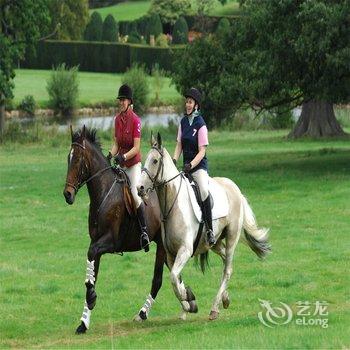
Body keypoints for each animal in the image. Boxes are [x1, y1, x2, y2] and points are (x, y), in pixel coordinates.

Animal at [62, 128, 175, 334]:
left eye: (78, 159)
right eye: (68, 158)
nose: (68, 194)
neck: (103, 193)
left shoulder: (109, 242)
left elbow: (90, 270)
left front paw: (91, 297)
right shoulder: (96, 243)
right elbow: (92, 273)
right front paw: (84, 321)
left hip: (162, 245)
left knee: (158, 280)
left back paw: (143, 313)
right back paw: (188, 300)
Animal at [138, 134, 270, 320]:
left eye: (155, 161)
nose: (140, 188)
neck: (172, 206)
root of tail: (234, 187)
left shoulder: (185, 250)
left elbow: (173, 278)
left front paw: (187, 299)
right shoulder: (170, 254)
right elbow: (175, 279)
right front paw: (188, 302)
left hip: (232, 236)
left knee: (228, 269)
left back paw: (215, 308)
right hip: (215, 243)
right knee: (225, 262)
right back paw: (225, 298)